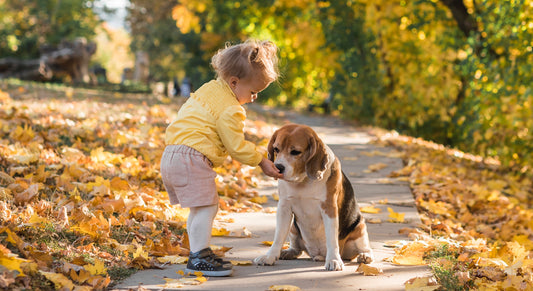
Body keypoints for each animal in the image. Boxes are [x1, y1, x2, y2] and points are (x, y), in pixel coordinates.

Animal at [252, 123, 370, 272]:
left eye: (295, 152)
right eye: (276, 149)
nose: (278, 167)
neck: (303, 181)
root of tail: (318, 254)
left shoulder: (329, 208)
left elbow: (332, 238)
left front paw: (333, 259)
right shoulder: (284, 208)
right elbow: (278, 236)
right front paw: (270, 256)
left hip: (360, 227)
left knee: (364, 248)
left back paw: (364, 256)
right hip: (293, 228)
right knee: (297, 248)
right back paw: (289, 252)